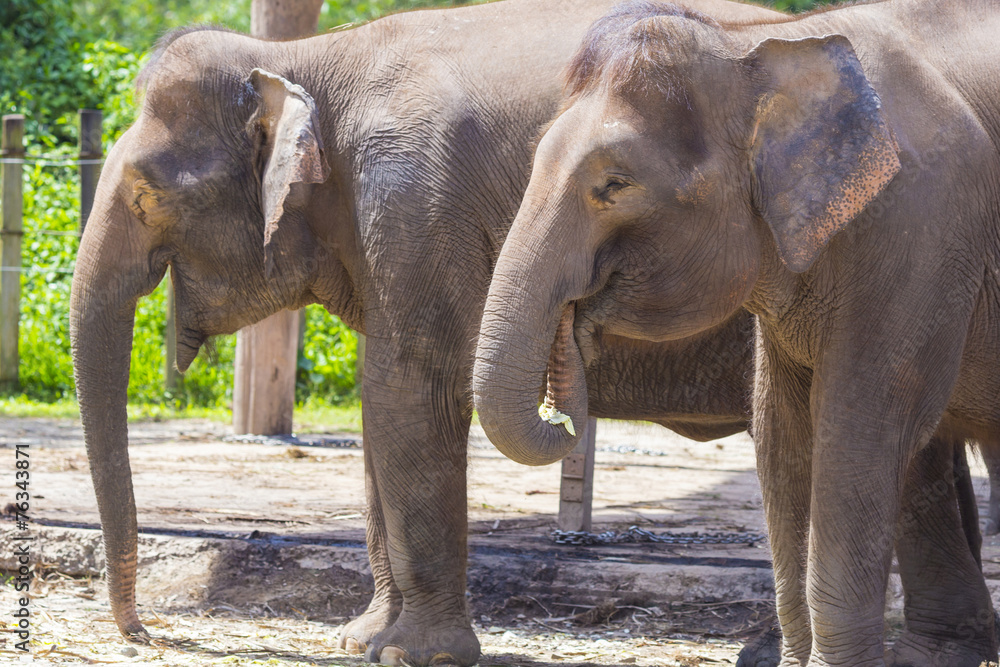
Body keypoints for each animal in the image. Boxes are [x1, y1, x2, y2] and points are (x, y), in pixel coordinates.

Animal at [68, 0, 796, 665]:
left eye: (147, 196)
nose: (144, 633)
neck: (302, 58)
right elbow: (379, 407)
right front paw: (360, 640)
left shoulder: (414, 202)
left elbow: (413, 392)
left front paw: (413, 653)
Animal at [473, 0, 1000, 664]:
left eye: (615, 184)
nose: (565, 419)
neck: (759, 49)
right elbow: (781, 433)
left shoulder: (922, 231)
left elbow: (862, 431)